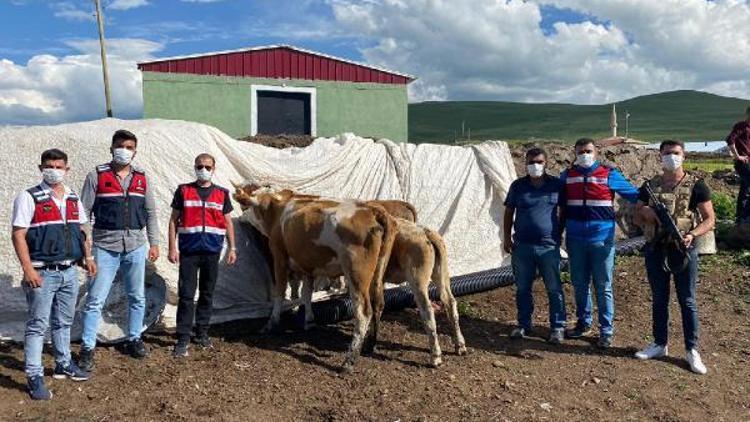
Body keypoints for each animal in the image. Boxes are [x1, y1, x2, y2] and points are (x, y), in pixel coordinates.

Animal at [241, 186, 396, 370]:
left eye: (245, 206)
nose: (240, 217)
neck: (278, 209)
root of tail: (372, 210)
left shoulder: (279, 257)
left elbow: (280, 291)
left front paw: (271, 323)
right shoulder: (308, 265)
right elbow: (306, 294)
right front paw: (309, 321)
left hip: (356, 274)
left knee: (364, 313)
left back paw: (349, 360)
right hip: (379, 272)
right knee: (379, 303)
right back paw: (369, 345)